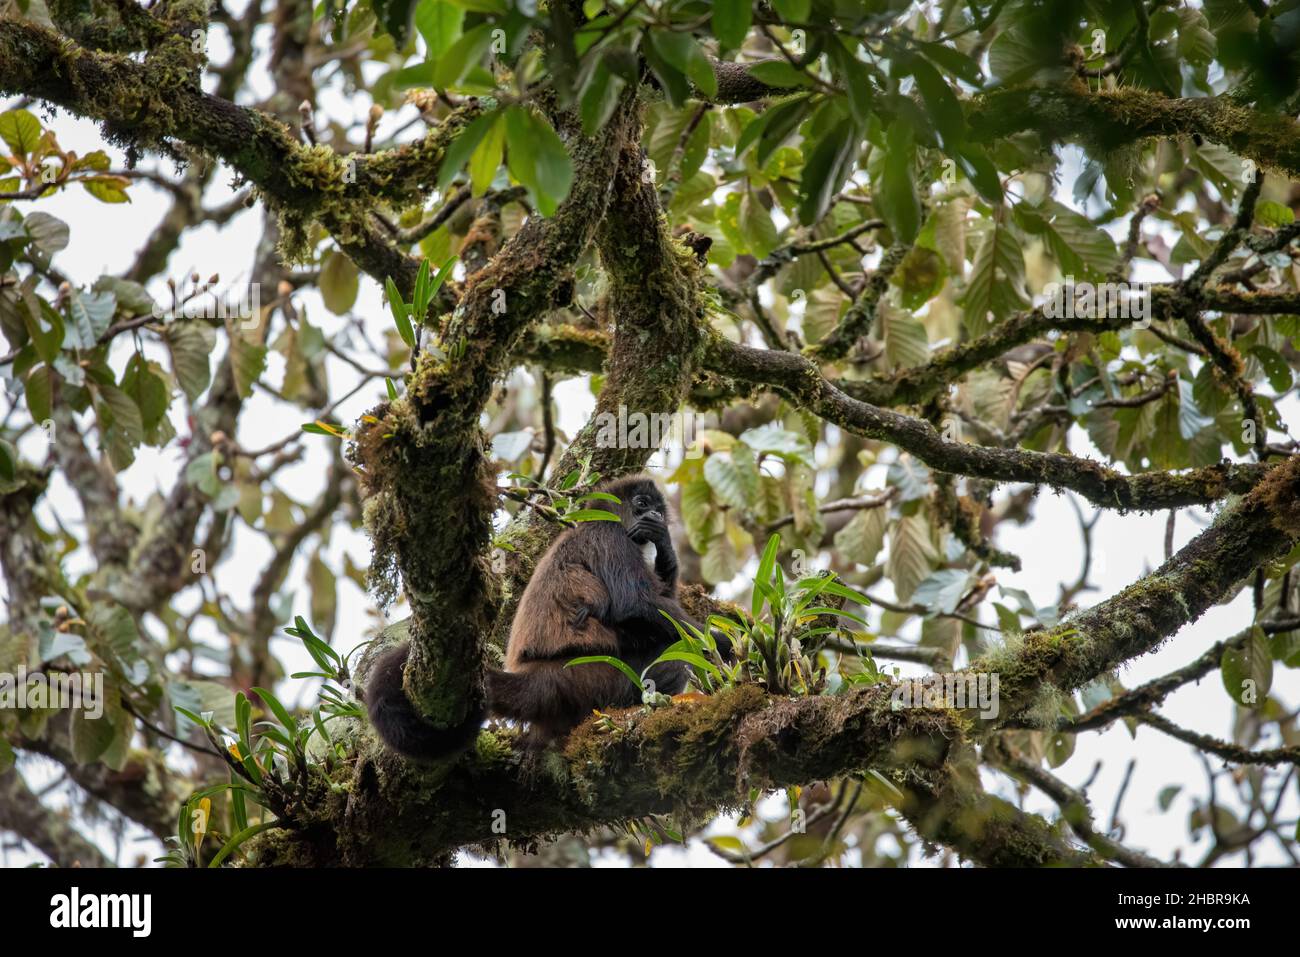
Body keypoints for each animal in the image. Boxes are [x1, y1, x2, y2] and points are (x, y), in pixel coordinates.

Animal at [365, 475, 716, 760]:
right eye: (641, 504)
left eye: (658, 508)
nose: (655, 515)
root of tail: (535, 677)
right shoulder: (609, 535)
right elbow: (634, 605)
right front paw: (721, 642)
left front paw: (665, 544)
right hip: (587, 678)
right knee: (674, 657)